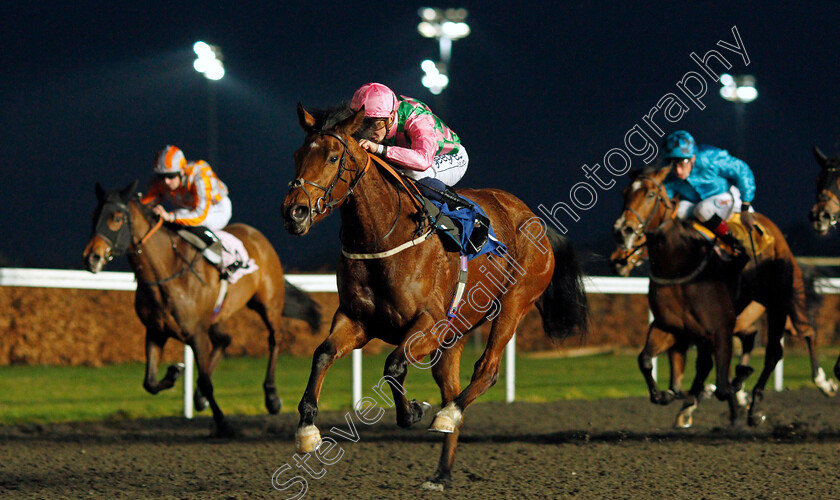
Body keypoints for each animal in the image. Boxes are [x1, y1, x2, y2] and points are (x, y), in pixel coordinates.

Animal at [83, 182, 322, 436]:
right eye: (94, 216)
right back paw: (198, 397)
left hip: (268, 303)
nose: (91, 257)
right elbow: (150, 383)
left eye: (116, 218)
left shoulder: (196, 333)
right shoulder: (155, 332)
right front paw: (174, 372)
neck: (167, 273)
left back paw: (272, 397)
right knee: (225, 339)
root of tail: (257, 236)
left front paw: (223, 423)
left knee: (274, 340)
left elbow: (206, 381)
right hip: (216, 316)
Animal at [282, 103, 592, 490]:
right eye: (297, 155)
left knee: (486, 371)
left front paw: (414, 410)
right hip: (453, 336)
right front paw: (307, 431)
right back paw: (442, 472)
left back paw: (448, 414)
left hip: (514, 303)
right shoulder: (356, 321)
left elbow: (393, 366)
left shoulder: (428, 323)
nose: (294, 212)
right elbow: (323, 354)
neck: (382, 236)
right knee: (451, 385)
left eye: (333, 157)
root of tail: (535, 220)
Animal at [612, 166, 836, 428]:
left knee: (788, 344)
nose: (622, 232)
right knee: (752, 343)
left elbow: (721, 383)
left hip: (781, 304)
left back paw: (805, 389)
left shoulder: (719, 329)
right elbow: (647, 361)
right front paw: (673, 396)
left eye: (650, 194)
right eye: (624, 193)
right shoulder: (670, 327)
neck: (680, 265)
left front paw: (735, 390)